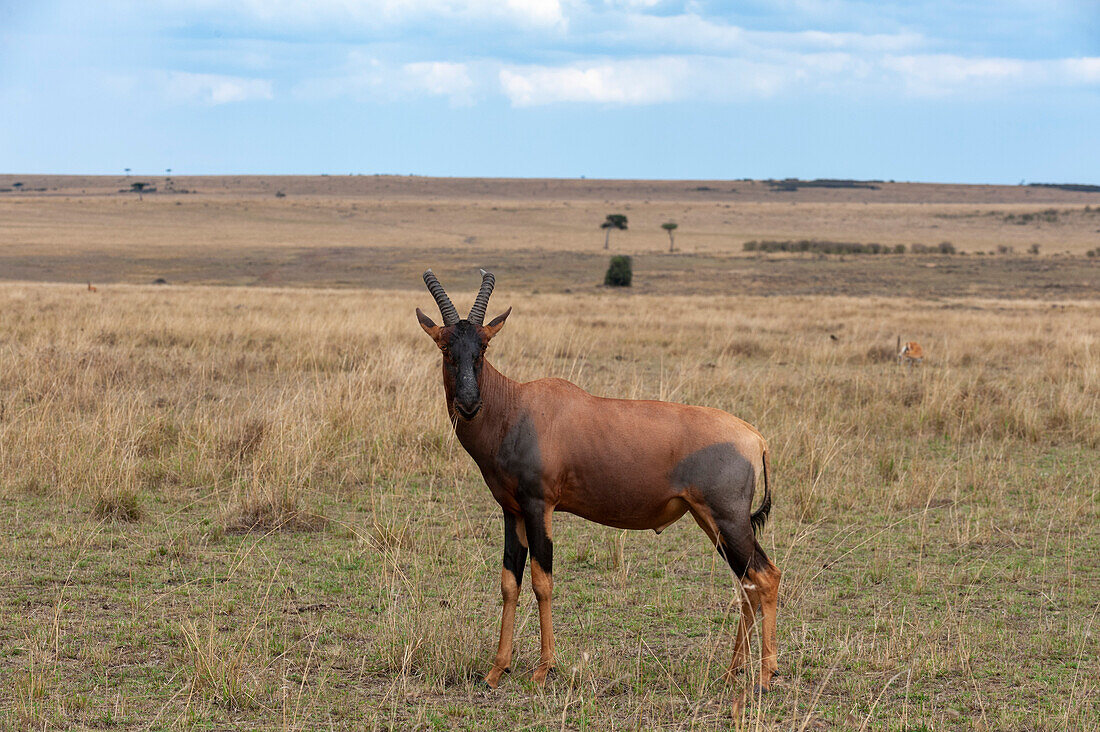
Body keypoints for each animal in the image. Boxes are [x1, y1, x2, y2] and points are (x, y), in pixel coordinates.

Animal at [413, 269, 783, 691]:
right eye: (446, 348)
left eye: (483, 348)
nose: (470, 405)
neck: (517, 406)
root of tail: (755, 437)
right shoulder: (512, 511)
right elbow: (510, 582)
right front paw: (496, 670)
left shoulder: (540, 506)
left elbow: (542, 580)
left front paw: (543, 669)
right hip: (712, 522)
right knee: (747, 583)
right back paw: (732, 670)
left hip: (729, 520)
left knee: (765, 577)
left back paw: (765, 676)